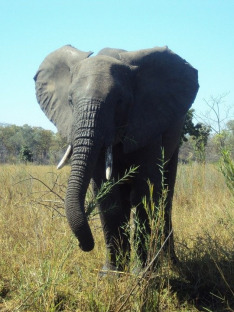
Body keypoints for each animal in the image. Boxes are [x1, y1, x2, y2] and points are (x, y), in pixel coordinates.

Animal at [34, 45, 199, 272]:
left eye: (120, 101)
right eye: (70, 101)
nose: (84, 245)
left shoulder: (147, 123)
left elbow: (145, 190)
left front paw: (142, 273)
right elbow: (107, 195)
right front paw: (112, 274)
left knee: (166, 197)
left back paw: (170, 264)